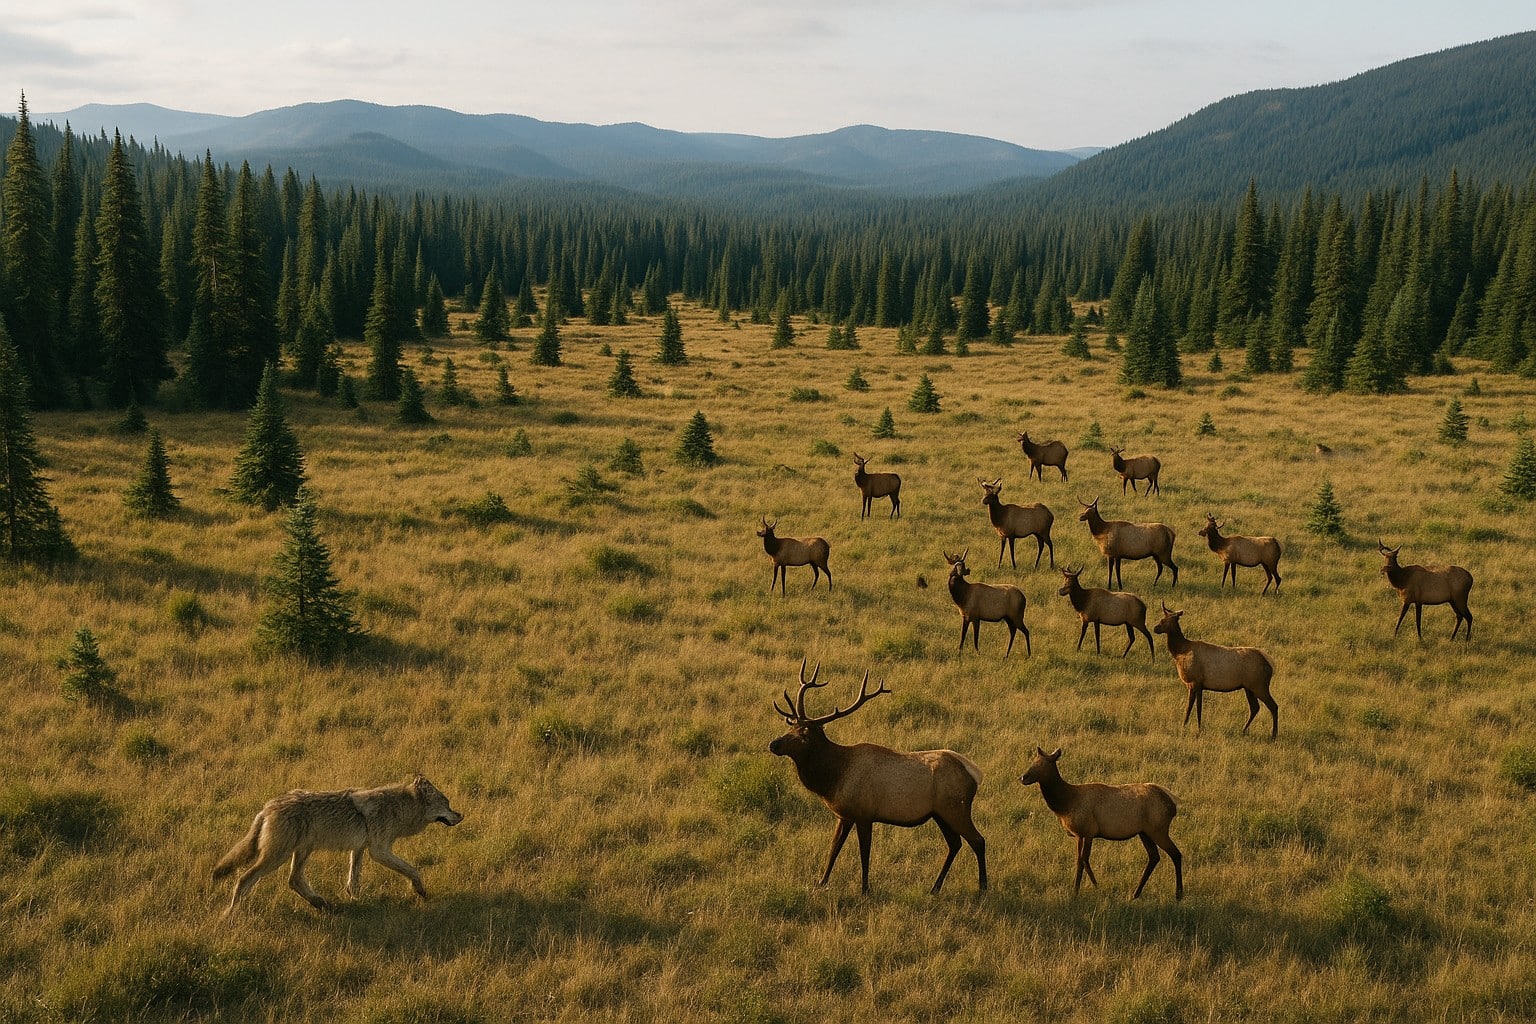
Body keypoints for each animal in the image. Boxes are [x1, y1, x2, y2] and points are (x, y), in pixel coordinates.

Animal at [212, 775, 463, 916]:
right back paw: (230, 915)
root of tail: (267, 807)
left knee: (294, 880)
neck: (399, 807)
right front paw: (419, 890)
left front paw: (356, 901)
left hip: (302, 851)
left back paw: (322, 904)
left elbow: (353, 881)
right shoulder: (379, 851)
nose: (461, 815)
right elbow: (413, 870)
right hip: (277, 857)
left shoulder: (360, 848)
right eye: (447, 803)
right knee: (244, 879)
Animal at [769, 661, 987, 894]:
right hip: (940, 814)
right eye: (791, 727)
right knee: (955, 844)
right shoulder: (844, 815)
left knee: (978, 841)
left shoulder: (864, 814)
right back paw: (934, 888)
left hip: (956, 809)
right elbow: (834, 848)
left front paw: (865, 889)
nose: (774, 744)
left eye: (804, 735)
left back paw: (982, 888)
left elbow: (864, 853)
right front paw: (821, 882)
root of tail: (974, 773)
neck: (834, 777)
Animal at [1018, 747, 1182, 900]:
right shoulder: (1079, 835)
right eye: (1033, 761)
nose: (1022, 777)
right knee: (1154, 856)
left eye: (1043, 764)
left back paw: (1178, 895)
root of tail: (1173, 803)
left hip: (1158, 829)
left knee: (1176, 854)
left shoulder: (1088, 831)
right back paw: (1135, 893)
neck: (1065, 804)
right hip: (1144, 832)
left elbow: (1084, 859)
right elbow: (1079, 860)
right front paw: (1077, 890)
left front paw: (1093, 888)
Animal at [1153, 603, 1278, 738]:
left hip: (1259, 685)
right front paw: (1194, 727)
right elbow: (1196, 707)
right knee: (1255, 707)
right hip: (1248, 687)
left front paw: (1191, 727)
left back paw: (1273, 735)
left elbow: (1194, 707)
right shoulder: (1198, 685)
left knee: (1273, 706)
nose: (1155, 628)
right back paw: (1243, 730)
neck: (1180, 652)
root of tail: (1271, 664)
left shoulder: (1195, 682)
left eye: (1163, 620)